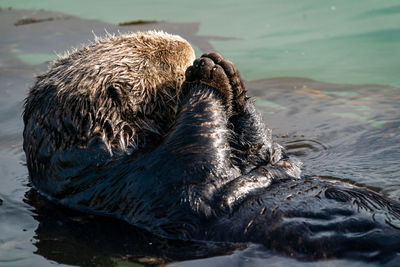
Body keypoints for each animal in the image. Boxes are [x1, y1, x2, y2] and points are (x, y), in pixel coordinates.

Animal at [23, 30, 400, 260]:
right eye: (155, 55)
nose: (185, 46)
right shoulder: (149, 178)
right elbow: (199, 148)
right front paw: (205, 73)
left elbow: (265, 154)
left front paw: (227, 71)